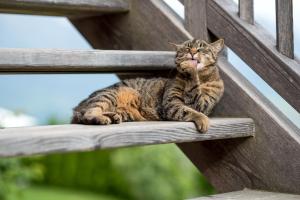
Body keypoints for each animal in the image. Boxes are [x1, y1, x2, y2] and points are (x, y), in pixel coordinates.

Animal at [71, 38, 224, 133]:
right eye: (186, 49)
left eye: (201, 49)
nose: (192, 52)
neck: (201, 79)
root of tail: (77, 107)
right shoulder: (171, 103)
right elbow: (191, 111)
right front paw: (202, 119)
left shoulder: (204, 103)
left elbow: (195, 105)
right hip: (110, 95)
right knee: (88, 113)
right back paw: (102, 118)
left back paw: (113, 117)